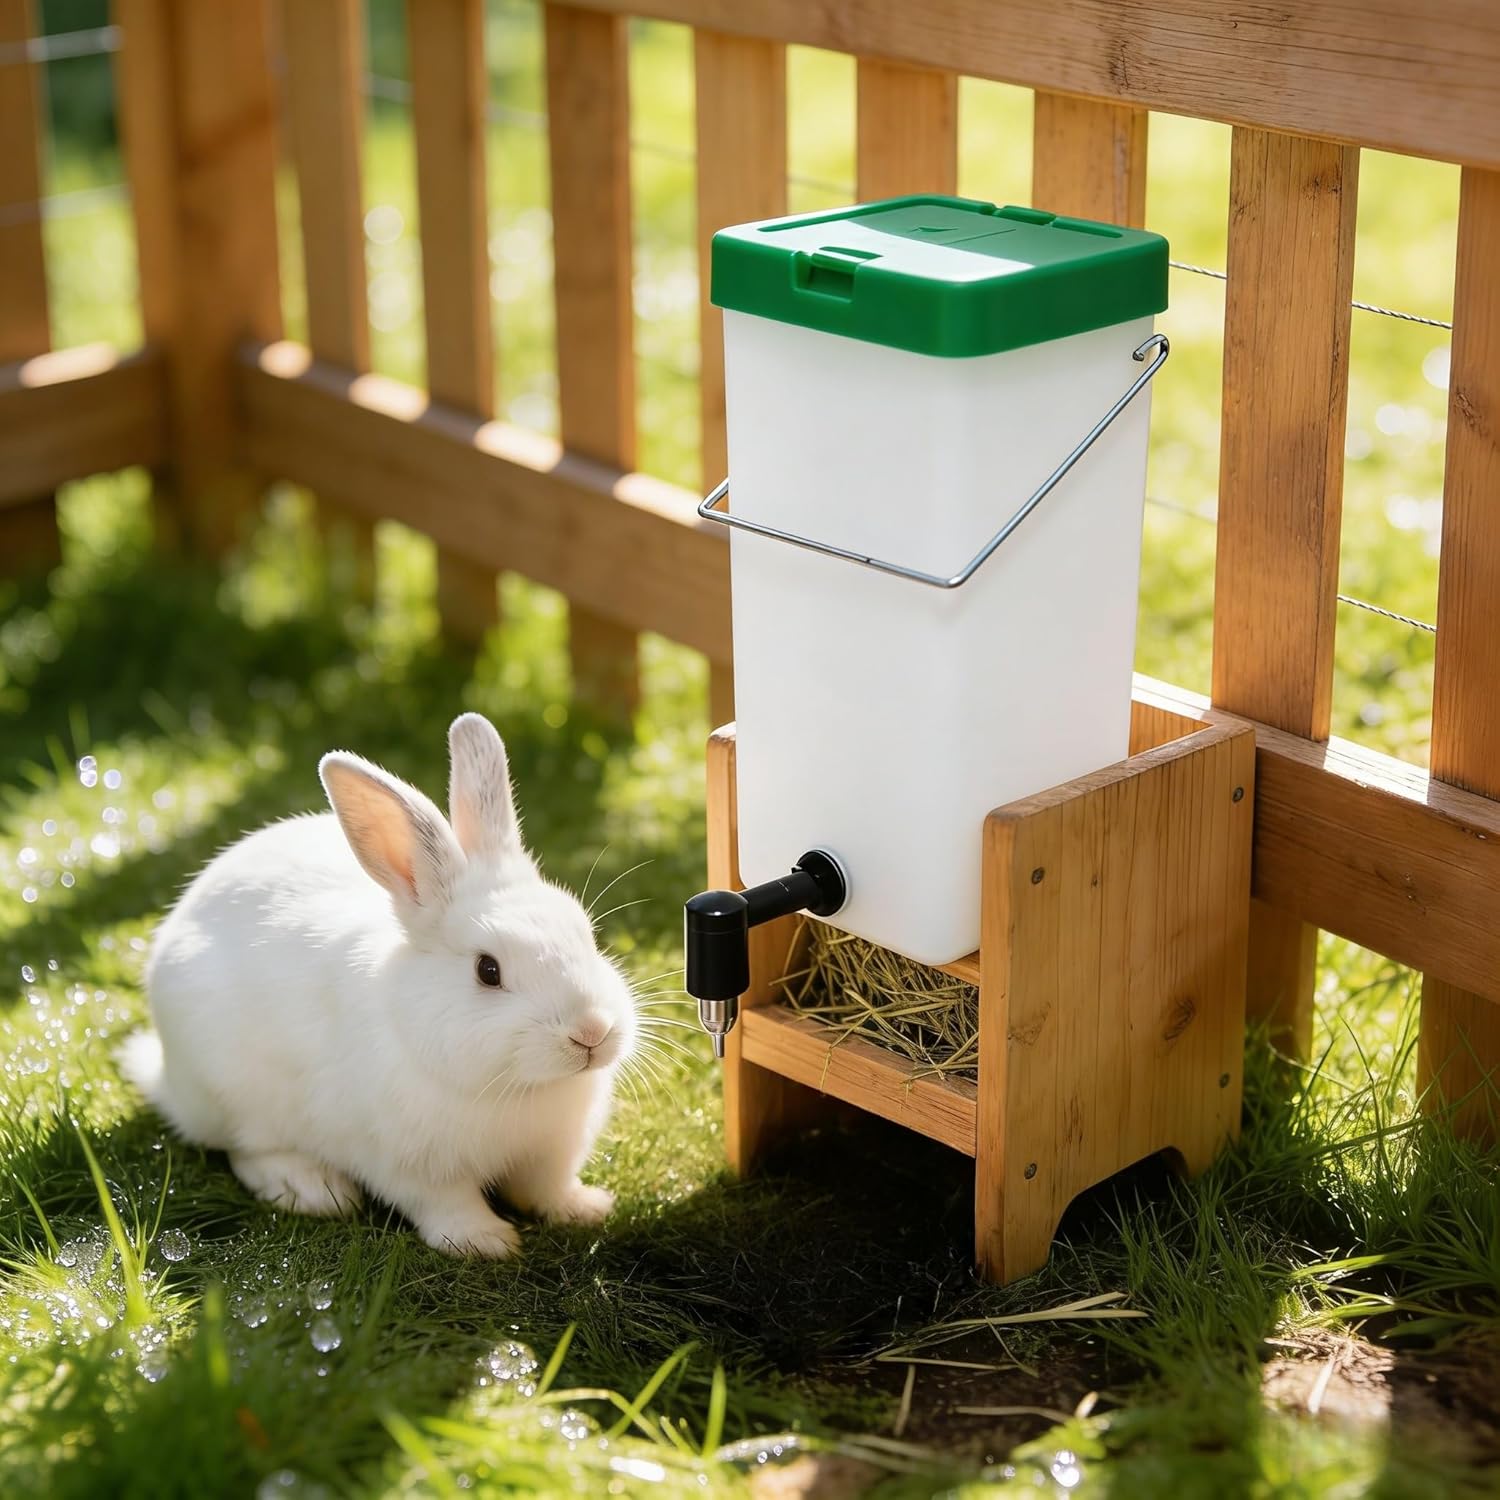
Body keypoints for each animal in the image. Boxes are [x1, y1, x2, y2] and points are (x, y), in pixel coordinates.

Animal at [121, 712, 637, 1258]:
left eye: (587, 935)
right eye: (488, 970)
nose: (591, 1032)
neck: (519, 1088)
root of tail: (167, 1077)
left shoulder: (550, 1153)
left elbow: (546, 1189)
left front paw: (586, 1210)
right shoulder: (412, 1166)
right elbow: (447, 1205)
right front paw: (485, 1243)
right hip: (232, 1095)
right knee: (246, 1151)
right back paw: (311, 1188)